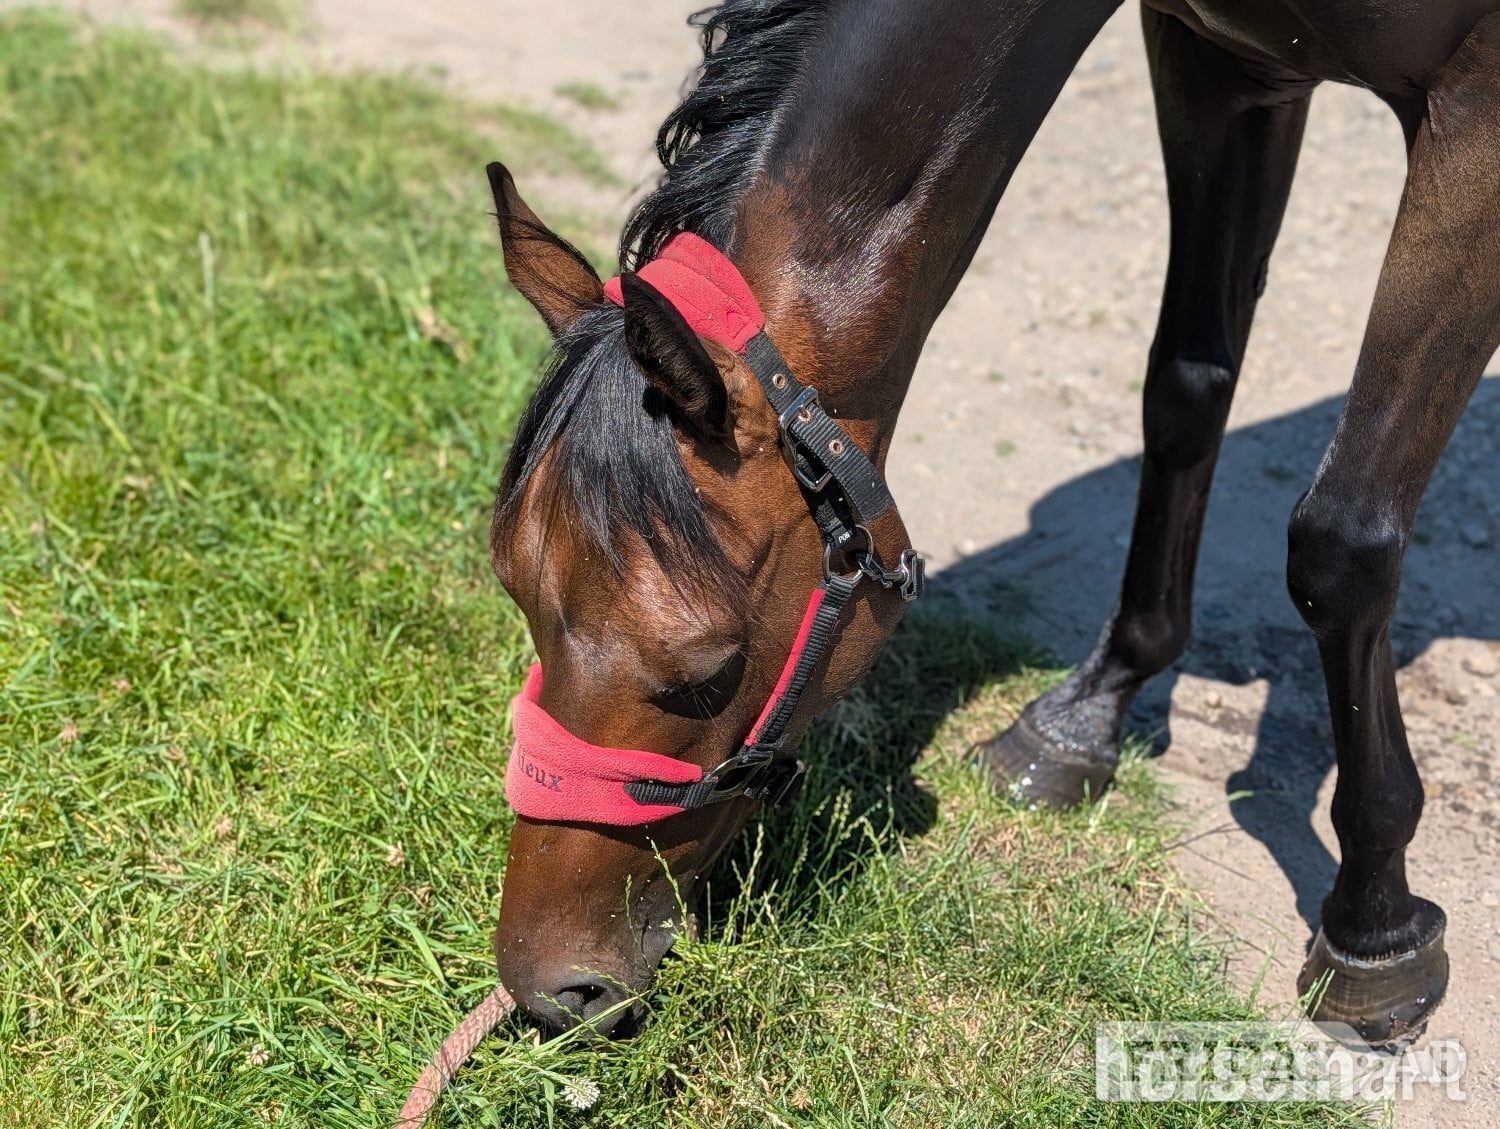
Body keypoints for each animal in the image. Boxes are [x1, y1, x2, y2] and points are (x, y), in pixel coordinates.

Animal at [484, 0, 1500, 1046]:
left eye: (707, 670)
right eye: (515, 591)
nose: (547, 984)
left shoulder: (1475, 108)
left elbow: (1342, 542)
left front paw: (1374, 927)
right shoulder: (1220, 67)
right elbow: (1185, 390)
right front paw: (1086, 712)